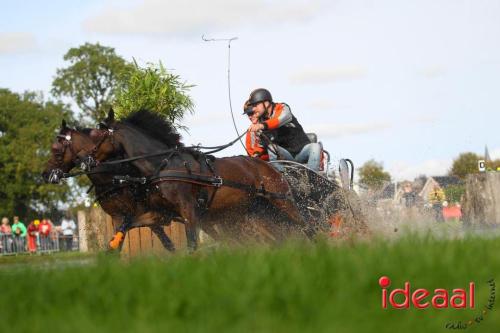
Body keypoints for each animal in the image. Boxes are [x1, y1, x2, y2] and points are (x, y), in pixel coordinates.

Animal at [89, 109, 312, 249]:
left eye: (97, 135)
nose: (88, 161)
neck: (164, 165)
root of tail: (271, 167)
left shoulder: (189, 211)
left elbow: (192, 245)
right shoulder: (163, 213)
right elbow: (129, 224)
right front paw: (112, 246)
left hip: (282, 202)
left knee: (305, 227)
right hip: (257, 212)